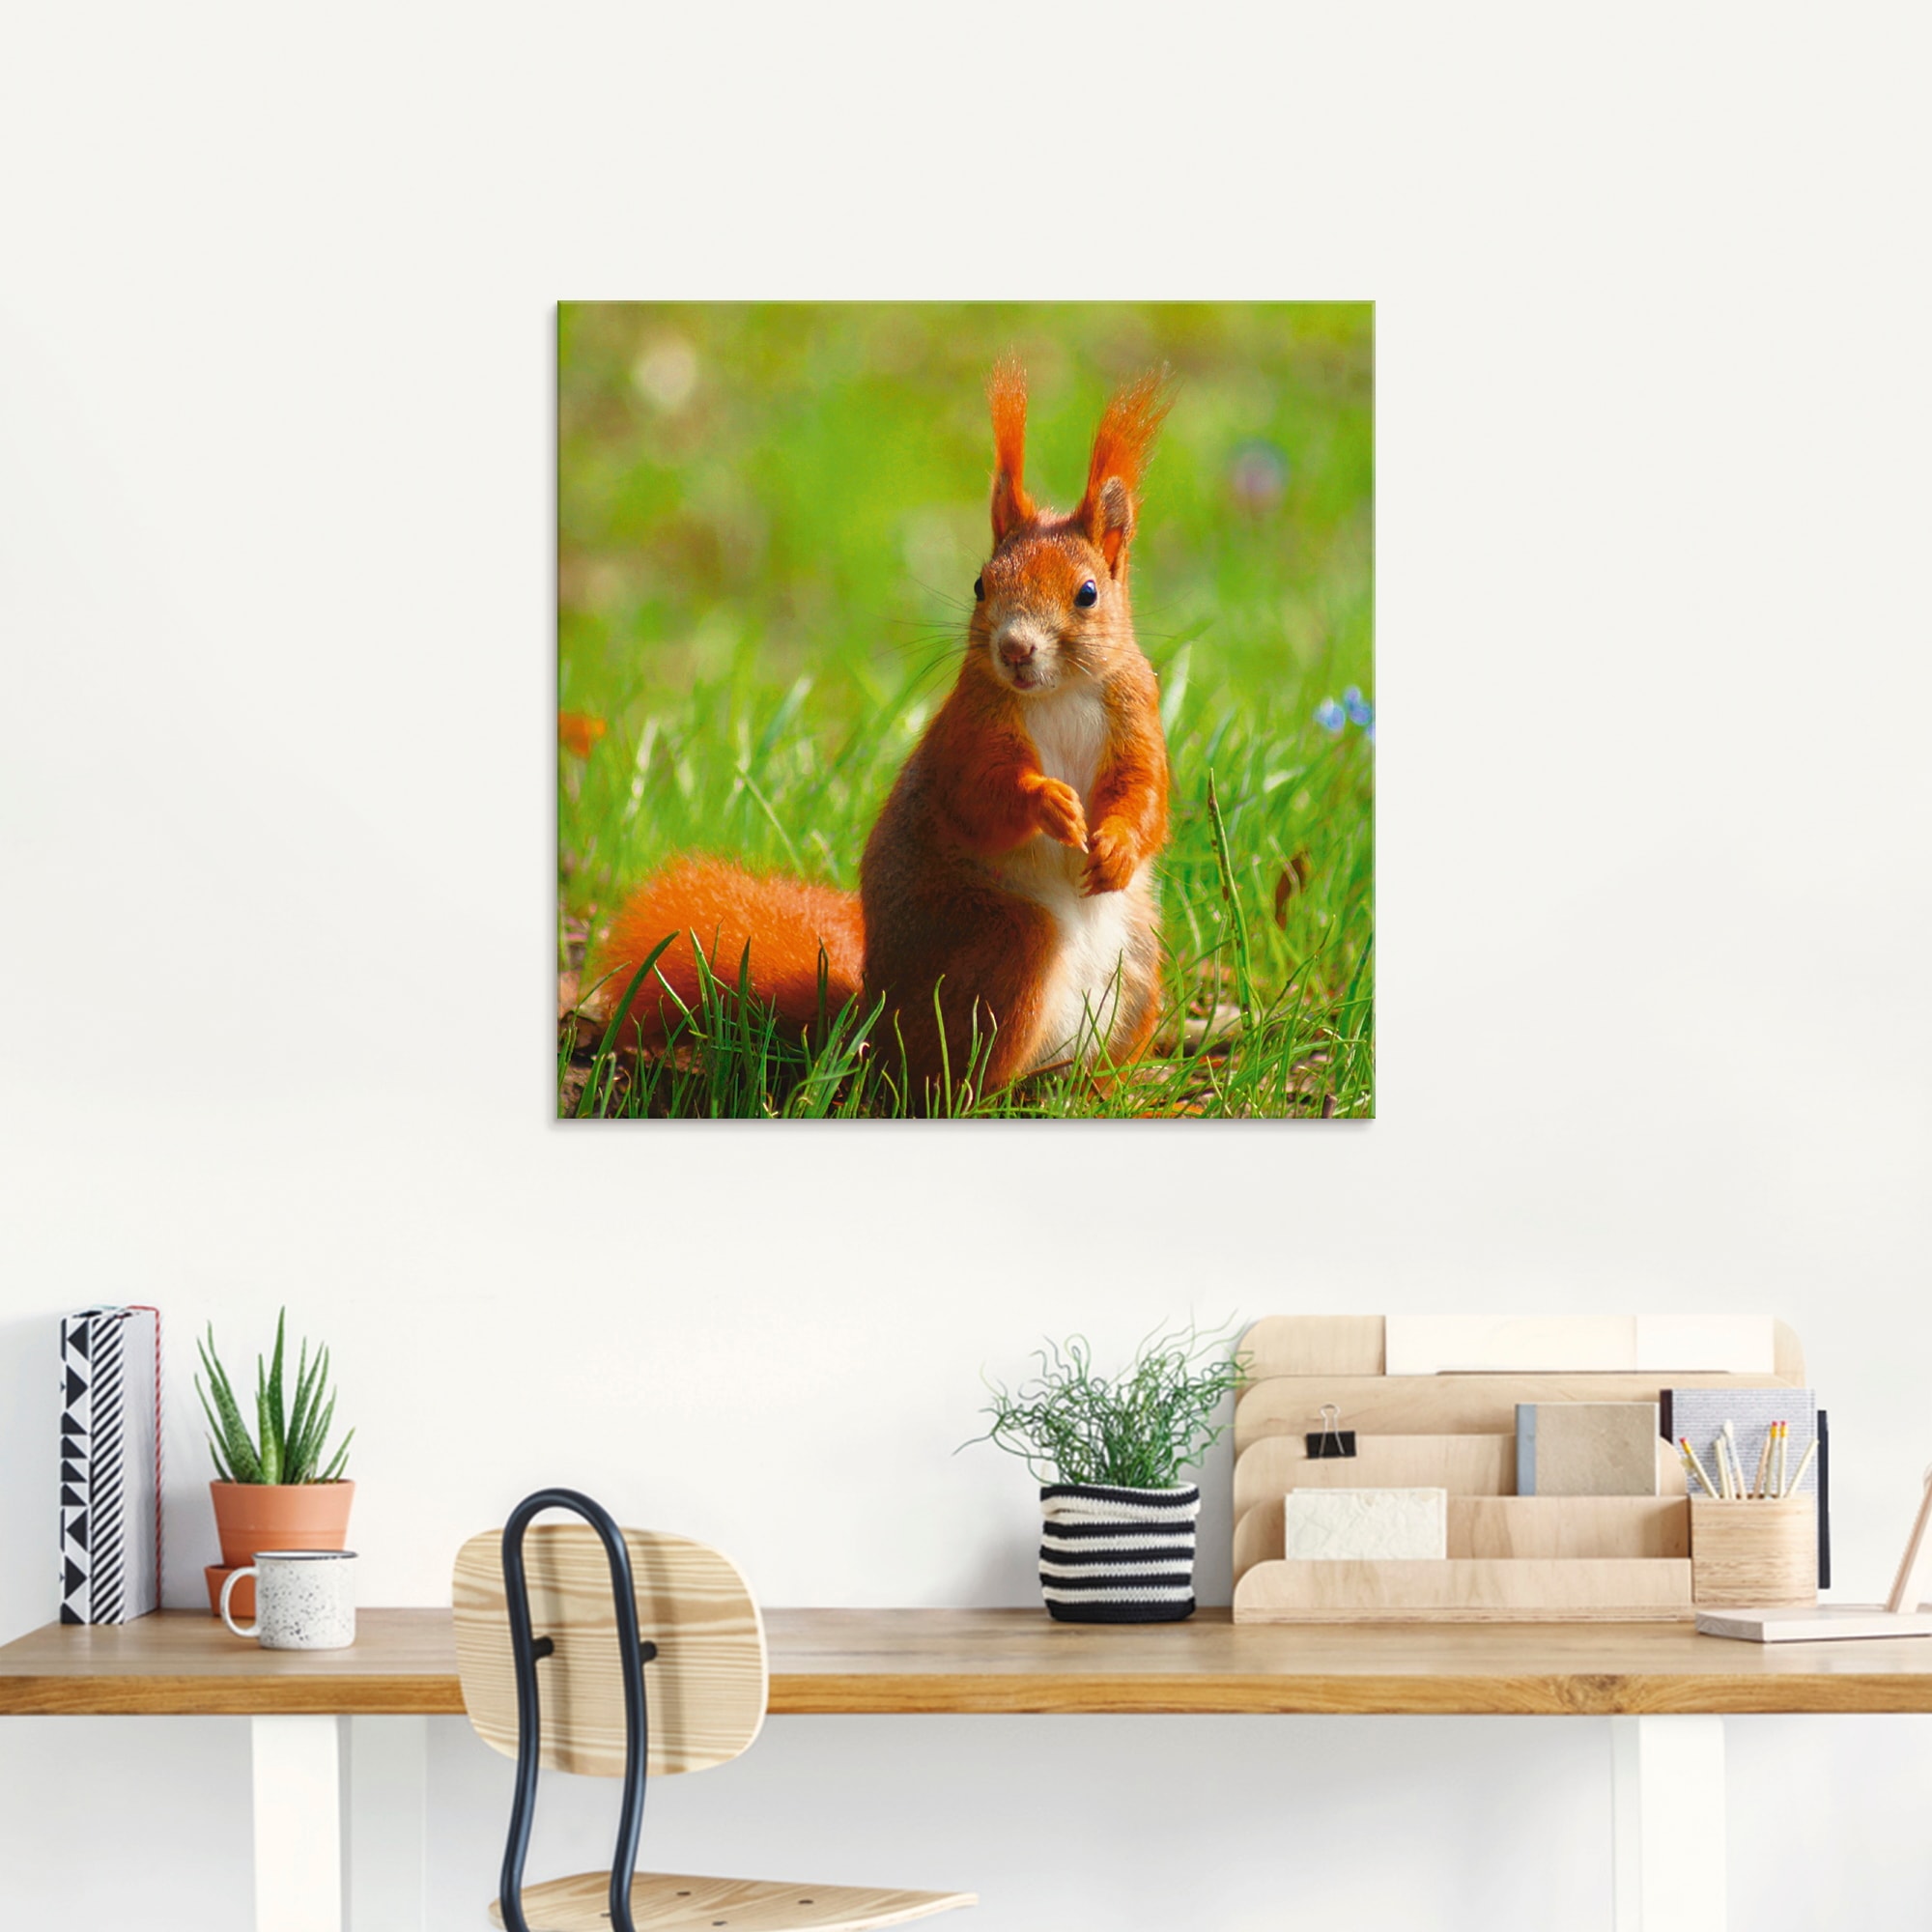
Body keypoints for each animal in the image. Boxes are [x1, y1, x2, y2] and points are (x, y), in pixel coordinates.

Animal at [587, 358, 1174, 1107]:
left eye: (1088, 593)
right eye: (981, 585)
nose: (1015, 649)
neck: (1059, 693)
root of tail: (872, 1028)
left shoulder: (1137, 715)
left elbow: (1146, 795)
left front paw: (1119, 845)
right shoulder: (968, 730)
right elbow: (977, 795)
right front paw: (1048, 801)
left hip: (1139, 967)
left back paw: (1106, 1087)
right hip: (1005, 944)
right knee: (950, 1076)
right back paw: (989, 1096)